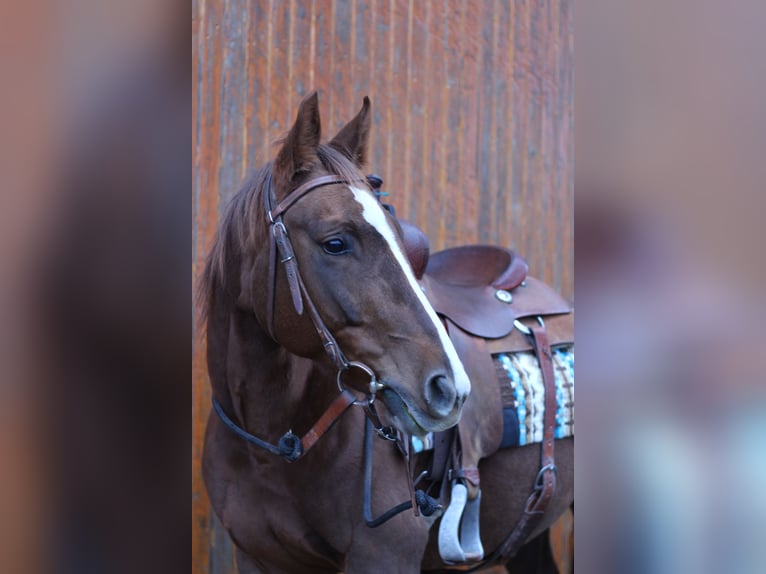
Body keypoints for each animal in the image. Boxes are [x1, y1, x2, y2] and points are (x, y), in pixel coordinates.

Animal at [199, 91, 573, 573]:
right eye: (335, 243)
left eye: (400, 236)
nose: (450, 389)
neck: (273, 446)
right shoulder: (256, 556)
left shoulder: (382, 557)